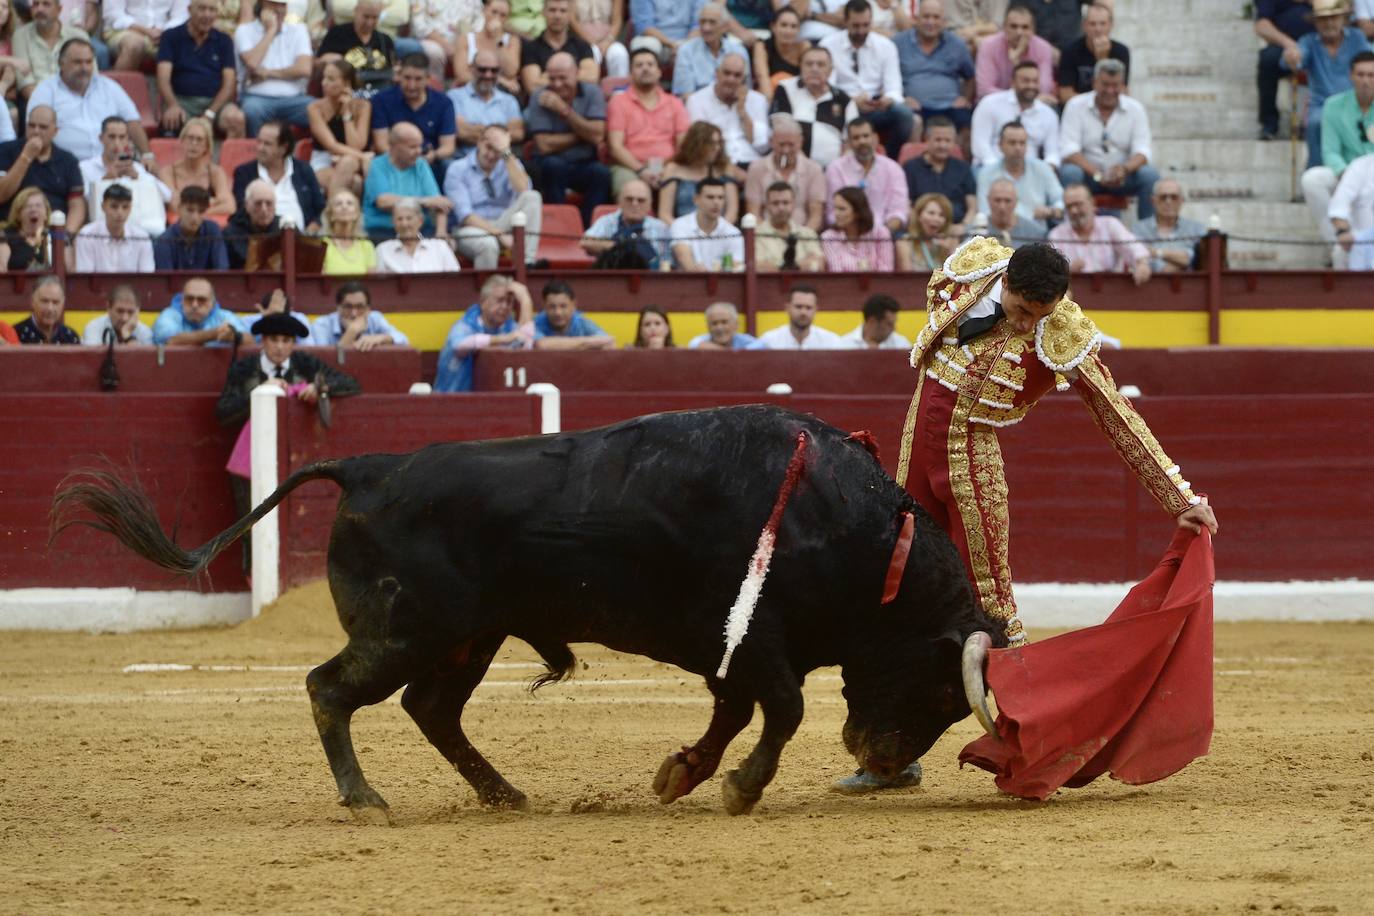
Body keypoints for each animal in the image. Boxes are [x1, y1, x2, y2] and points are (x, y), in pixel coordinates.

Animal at [50, 403, 1011, 818]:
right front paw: (735, 788)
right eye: (941, 687)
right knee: (330, 689)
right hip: (408, 629)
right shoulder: (752, 640)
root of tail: (367, 466)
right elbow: (780, 710)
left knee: (430, 709)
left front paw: (682, 774)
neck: (848, 530)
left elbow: (740, 712)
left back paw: (502, 793)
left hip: (467, 638)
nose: (878, 758)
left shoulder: (729, 650)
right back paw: (366, 800)